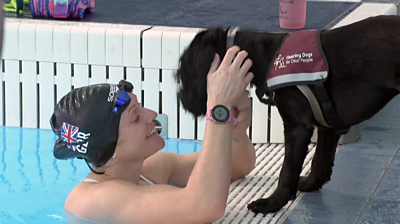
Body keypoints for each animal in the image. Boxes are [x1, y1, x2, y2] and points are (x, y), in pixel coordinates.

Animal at [177, 14, 400, 214]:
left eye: (184, 73)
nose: (183, 101)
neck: (264, 56)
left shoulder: (297, 127)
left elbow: (287, 171)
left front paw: (272, 203)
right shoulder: (328, 127)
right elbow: (320, 161)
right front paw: (310, 183)